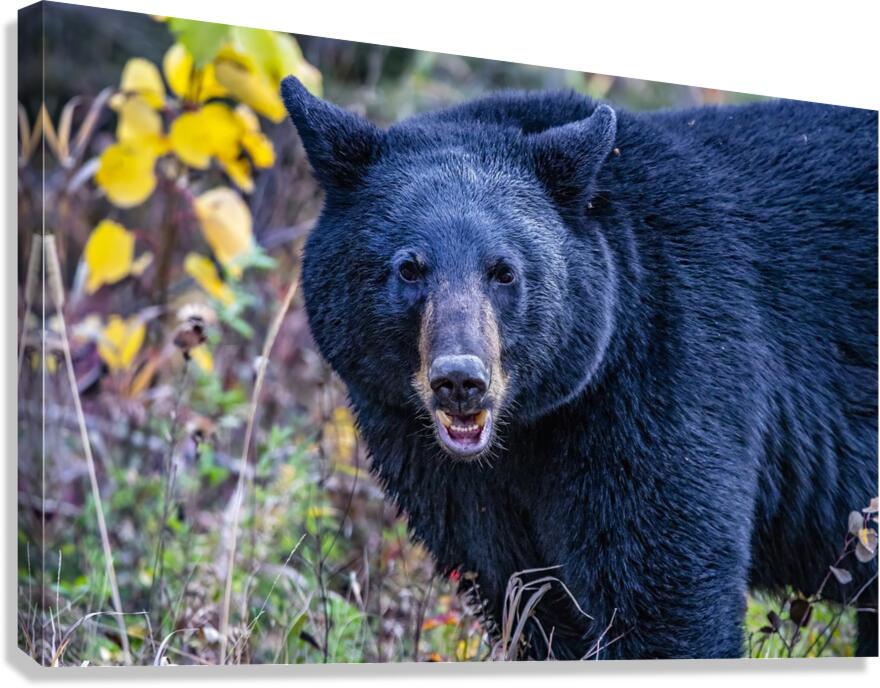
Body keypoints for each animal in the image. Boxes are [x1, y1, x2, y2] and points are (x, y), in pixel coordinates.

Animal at [281, 75, 878, 660]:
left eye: (504, 271)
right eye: (408, 268)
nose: (460, 381)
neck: (526, 432)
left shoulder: (667, 368)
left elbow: (664, 587)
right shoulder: (438, 465)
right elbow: (529, 599)